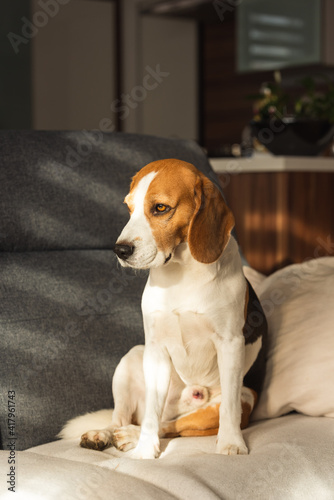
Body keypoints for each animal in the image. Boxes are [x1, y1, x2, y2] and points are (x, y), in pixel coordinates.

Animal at [60, 159, 268, 458]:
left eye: (160, 208)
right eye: (129, 208)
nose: (120, 250)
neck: (183, 272)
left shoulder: (230, 344)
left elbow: (228, 409)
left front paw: (231, 443)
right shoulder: (156, 347)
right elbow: (151, 417)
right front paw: (146, 450)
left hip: (244, 396)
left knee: (174, 424)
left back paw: (131, 435)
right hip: (133, 357)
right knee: (130, 418)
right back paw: (108, 434)